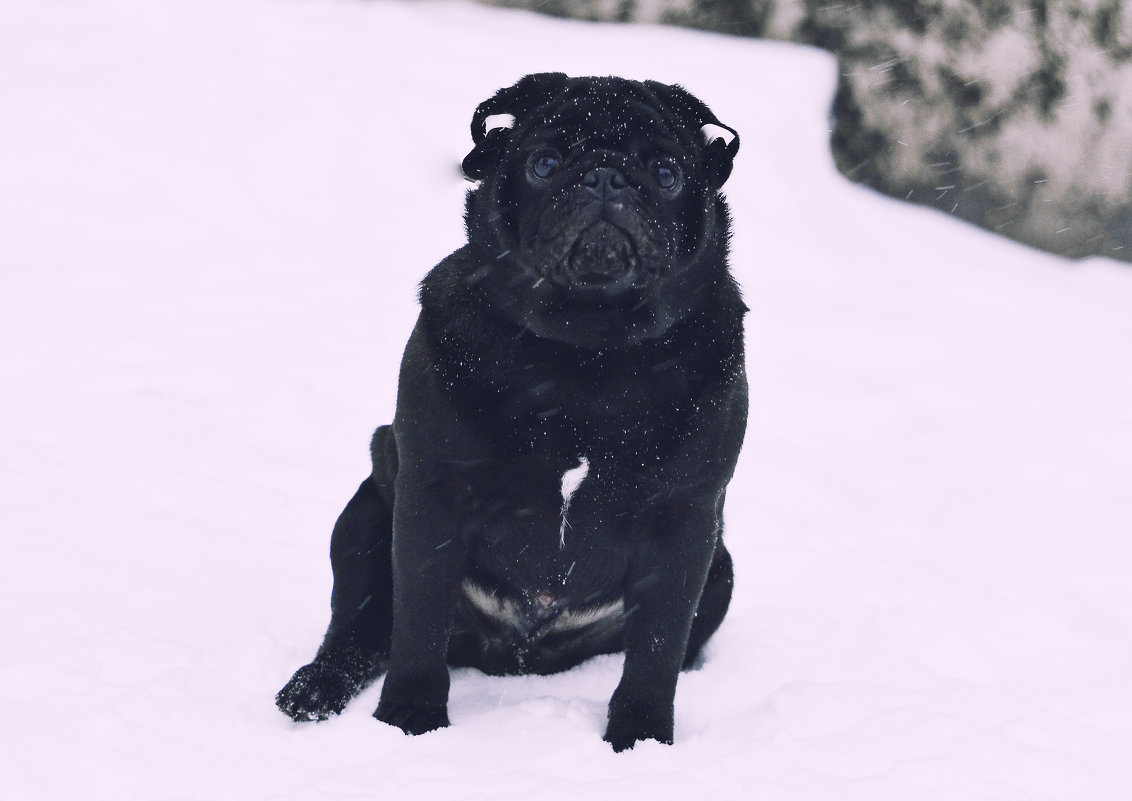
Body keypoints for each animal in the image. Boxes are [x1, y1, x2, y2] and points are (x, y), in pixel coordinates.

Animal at [277, 73, 747, 751]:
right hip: (362, 522)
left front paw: (640, 740)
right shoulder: (434, 498)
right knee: (360, 632)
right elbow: (418, 624)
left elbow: (656, 652)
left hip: (721, 570)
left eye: (665, 173)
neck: (586, 354)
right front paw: (409, 721)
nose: (605, 177)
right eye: (543, 163)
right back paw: (313, 690)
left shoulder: (684, 523)